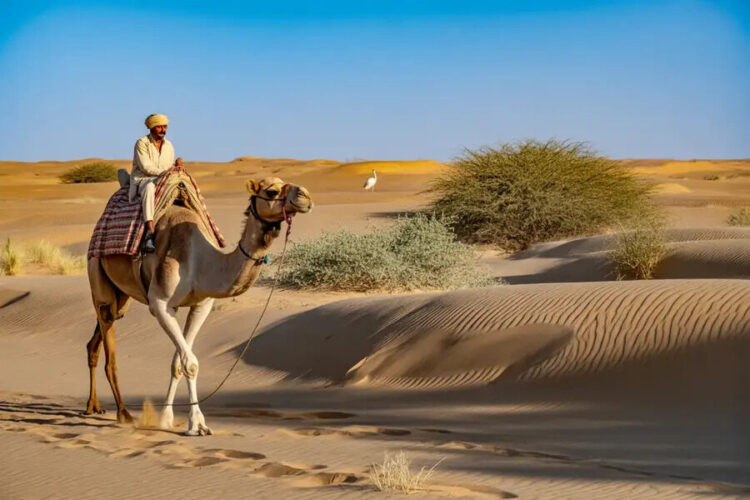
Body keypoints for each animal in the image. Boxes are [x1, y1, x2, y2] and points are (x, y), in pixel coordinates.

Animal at [85, 177, 312, 435]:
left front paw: (166, 419)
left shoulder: (201, 305)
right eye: (272, 191)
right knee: (108, 348)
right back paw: (122, 413)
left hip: (121, 297)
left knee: (96, 341)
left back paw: (93, 406)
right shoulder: (161, 304)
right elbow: (190, 363)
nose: (305, 196)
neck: (199, 261)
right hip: (98, 278)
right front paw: (197, 424)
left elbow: (178, 363)